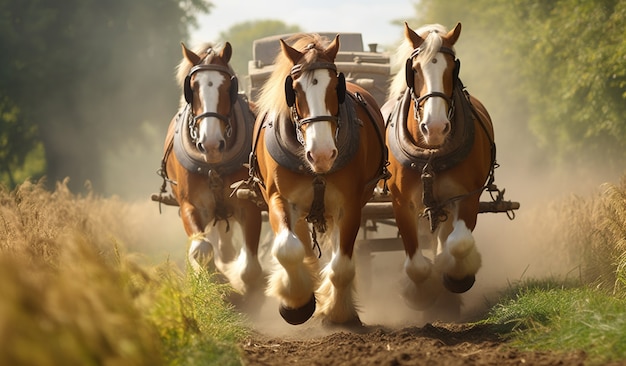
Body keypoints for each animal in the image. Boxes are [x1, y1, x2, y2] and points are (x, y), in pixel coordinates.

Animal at [158, 42, 264, 298]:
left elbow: (250, 268)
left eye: (228, 87)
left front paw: (237, 279)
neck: (214, 163)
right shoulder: (190, 205)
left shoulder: (248, 205)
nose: (211, 144)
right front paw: (216, 280)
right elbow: (201, 248)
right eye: (192, 88)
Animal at [247, 34, 386, 324]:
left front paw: (337, 312)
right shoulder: (279, 199)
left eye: (335, 87)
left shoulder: (349, 206)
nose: (321, 154)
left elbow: (341, 265)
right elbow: (288, 249)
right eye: (294, 90)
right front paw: (296, 303)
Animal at [382, 22, 494, 308]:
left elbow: (459, 243)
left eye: (453, 69)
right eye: (414, 69)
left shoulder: (467, 196)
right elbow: (416, 265)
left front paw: (455, 275)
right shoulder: (401, 203)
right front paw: (420, 293)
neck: (431, 151)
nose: (434, 127)